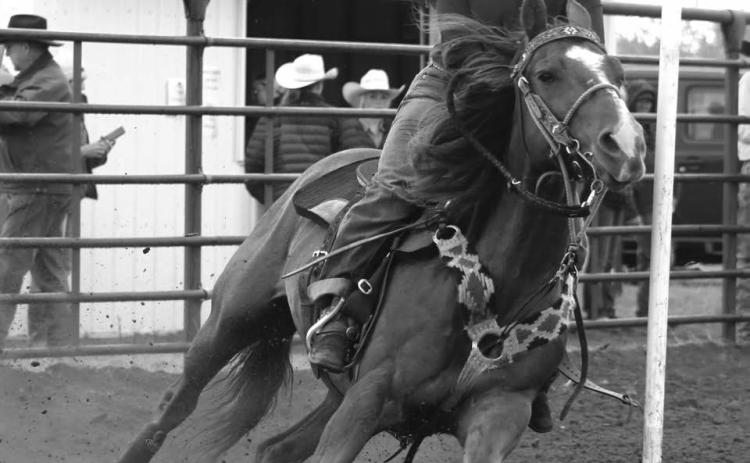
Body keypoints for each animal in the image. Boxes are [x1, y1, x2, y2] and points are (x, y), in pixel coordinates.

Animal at [117, 1, 645, 462]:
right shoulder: (365, 401)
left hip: (329, 387)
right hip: (233, 319)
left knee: (276, 448)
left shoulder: (500, 411)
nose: (626, 146)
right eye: (547, 74)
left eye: (618, 75)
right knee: (171, 410)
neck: (498, 275)